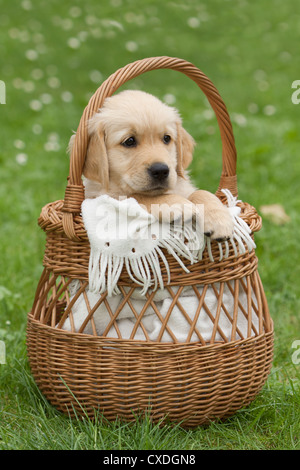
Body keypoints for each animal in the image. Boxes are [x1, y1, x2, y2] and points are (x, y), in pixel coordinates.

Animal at [69, 89, 233, 241]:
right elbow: (137, 196)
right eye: (129, 141)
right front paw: (177, 204)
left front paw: (219, 219)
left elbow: (201, 192)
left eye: (167, 138)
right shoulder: (102, 198)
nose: (161, 170)